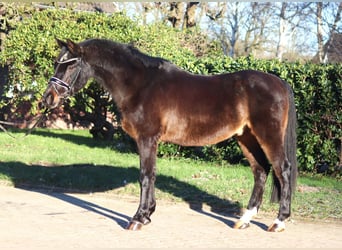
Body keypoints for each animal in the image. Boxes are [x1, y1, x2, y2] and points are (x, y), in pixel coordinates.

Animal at [42, 39, 296, 232]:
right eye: (57, 63)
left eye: (70, 66)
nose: (47, 98)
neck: (140, 85)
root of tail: (280, 82)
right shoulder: (149, 141)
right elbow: (151, 175)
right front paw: (147, 215)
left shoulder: (146, 139)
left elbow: (145, 176)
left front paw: (138, 219)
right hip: (246, 137)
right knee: (260, 171)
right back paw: (244, 220)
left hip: (268, 136)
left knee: (282, 170)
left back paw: (279, 221)